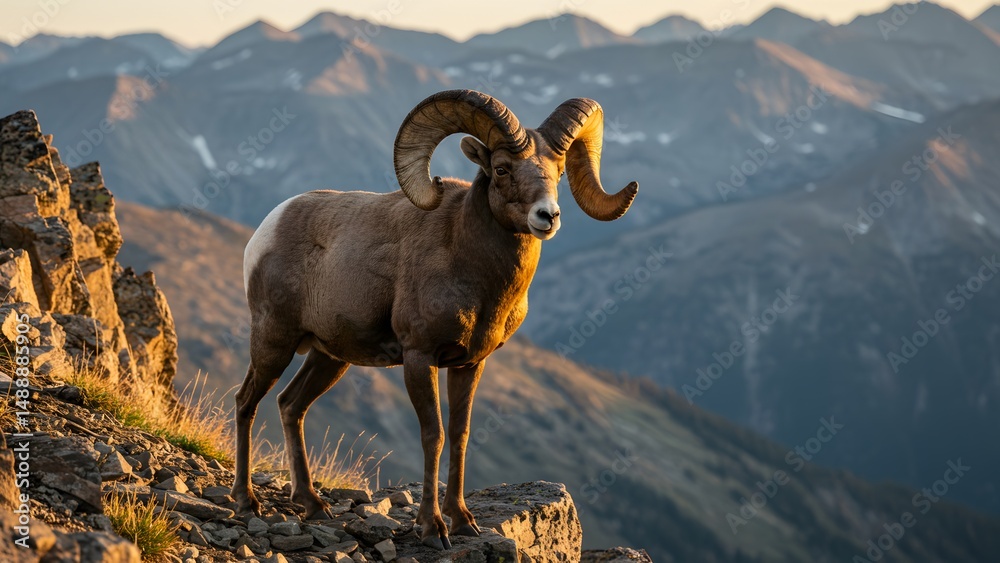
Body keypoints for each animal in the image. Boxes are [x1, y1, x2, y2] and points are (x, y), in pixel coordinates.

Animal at [231, 89, 637, 550]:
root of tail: (266, 230)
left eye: (558, 171)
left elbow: (460, 435)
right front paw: (433, 528)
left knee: (290, 405)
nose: (547, 216)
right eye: (502, 168)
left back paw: (313, 505)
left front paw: (462, 522)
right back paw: (246, 502)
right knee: (246, 402)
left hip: (329, 358)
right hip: (274, 342)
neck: (468, 266)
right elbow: (434, 435)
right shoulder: (419, 357)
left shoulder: (469, 364)